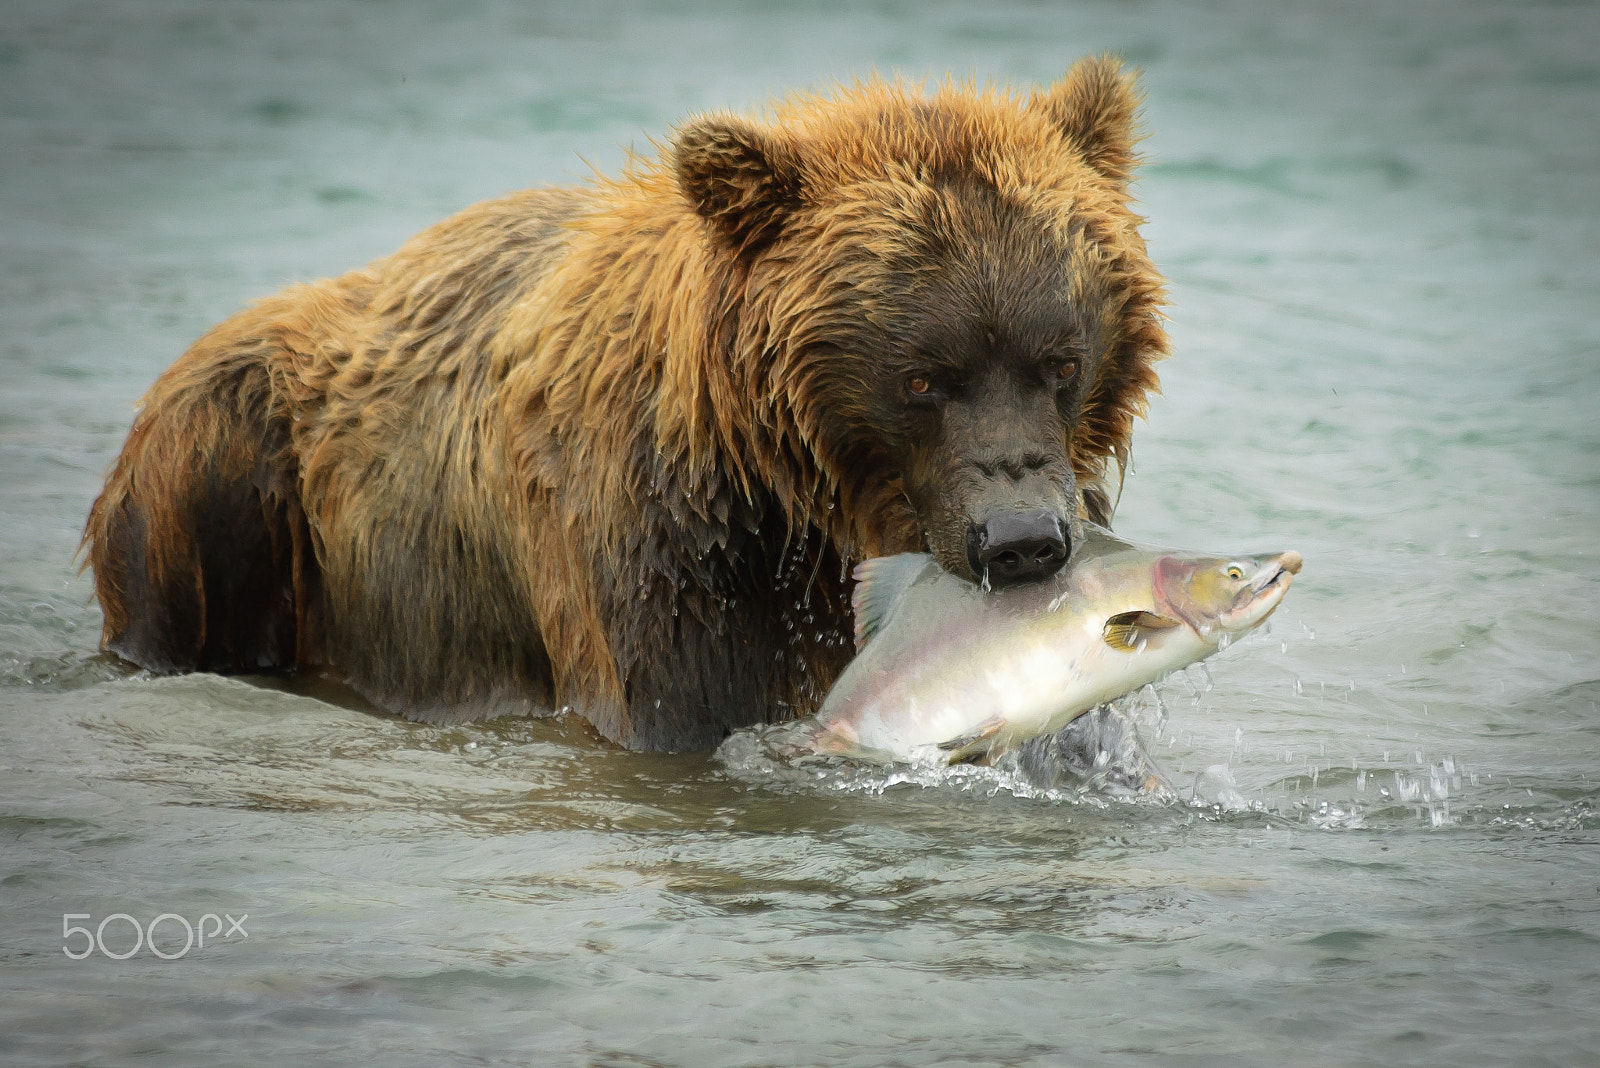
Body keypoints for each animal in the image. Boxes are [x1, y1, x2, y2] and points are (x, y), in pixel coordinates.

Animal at [83, 57, 1168, 752]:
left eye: (1059, 361)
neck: (797, 502)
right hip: (231, 476)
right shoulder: (664, 549)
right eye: (920, 378)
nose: (1021, 540)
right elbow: (677, 715)